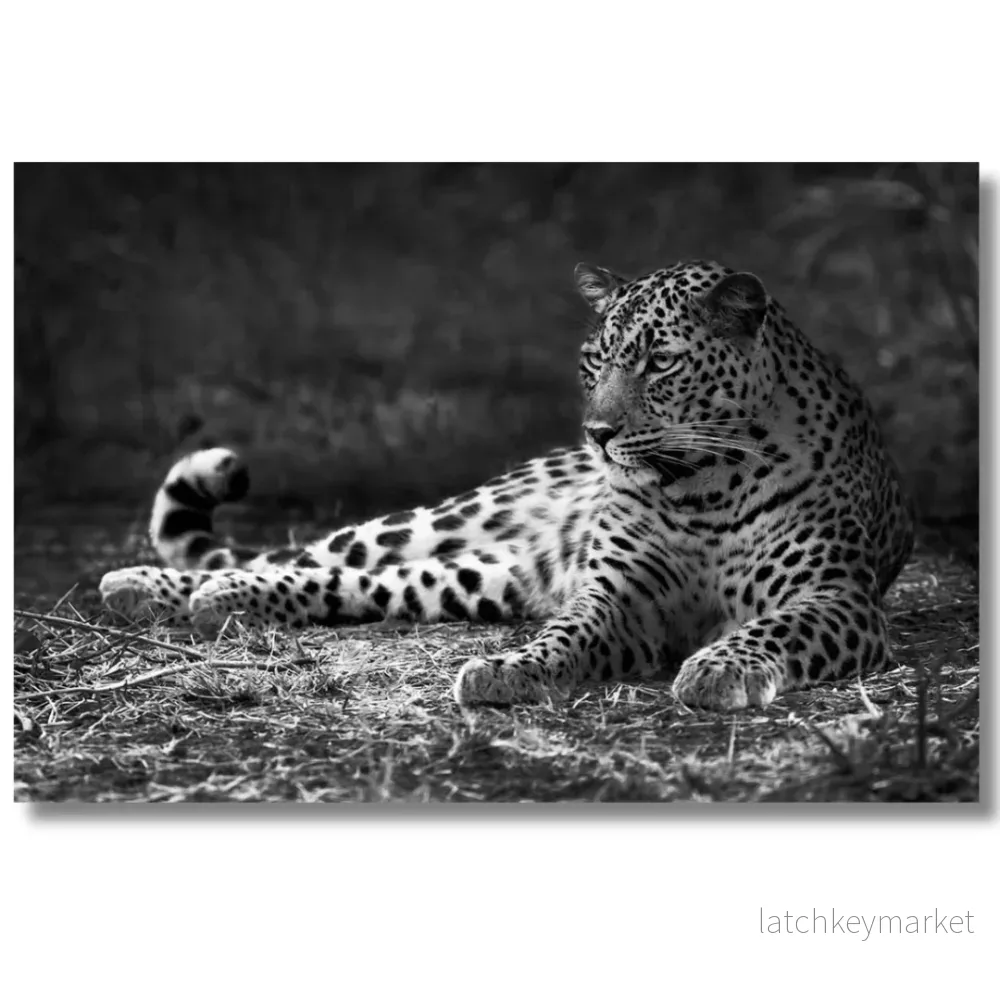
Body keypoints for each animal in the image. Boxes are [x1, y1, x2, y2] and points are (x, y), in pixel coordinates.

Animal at [100, 259, 915, 712]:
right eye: (595, 359)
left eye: (661, 362)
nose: (598, 434)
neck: (704, 486)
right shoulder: (617, 594)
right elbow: (568, 633)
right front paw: (511, 669)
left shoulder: (837, 598)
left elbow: (771, 627)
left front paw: (719, 668)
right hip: (444, 521)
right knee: (304, 555)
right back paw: (148, 585)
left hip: (480, 579)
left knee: (351, 582)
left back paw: (212, 598)